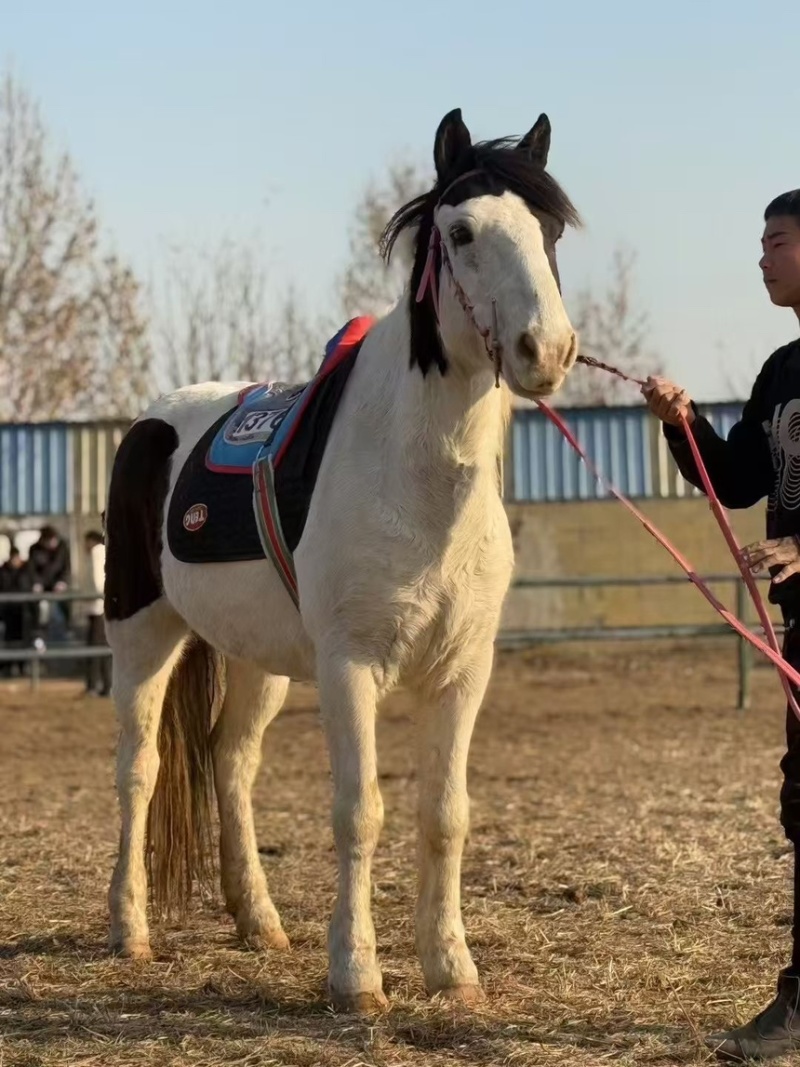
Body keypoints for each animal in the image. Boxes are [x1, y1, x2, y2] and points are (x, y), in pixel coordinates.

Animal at [103, 106, 581, 1012]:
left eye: (552, 230)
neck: (415, 475)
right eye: (461, 232)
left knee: (231, 763)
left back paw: (257, 919)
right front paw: (357, 974)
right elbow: (361, 812)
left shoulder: (462, 670)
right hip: (143, 635)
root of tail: (152, 420)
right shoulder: (350, 664)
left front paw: (451, 966)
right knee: (140, 772)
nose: (547, 349)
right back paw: (128, 929)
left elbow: (445, 814)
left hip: (257, 661)